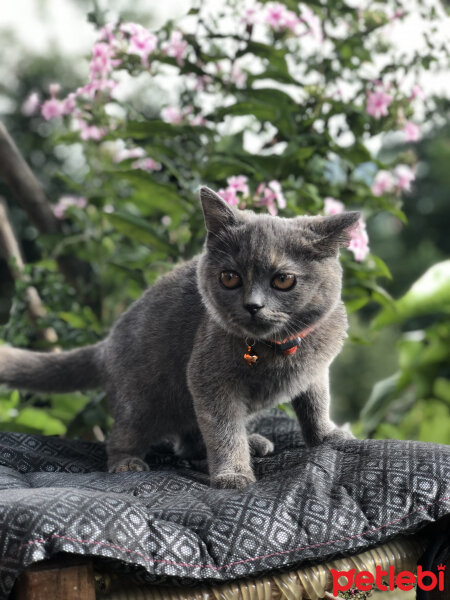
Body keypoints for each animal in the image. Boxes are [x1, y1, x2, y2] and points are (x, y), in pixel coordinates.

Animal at [0, 188, 358, 488]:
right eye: (230, 278)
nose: (253, 306)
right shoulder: (208, 378)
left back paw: (251, 441)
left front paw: (329, 436)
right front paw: (232, 474)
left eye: (283, 280)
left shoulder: (315, 369)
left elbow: (315, 403)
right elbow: (223, 428)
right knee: (124, 436)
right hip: (140, 400)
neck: (279, 348)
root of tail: (106, 344)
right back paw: (127, 462)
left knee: (189, 441)